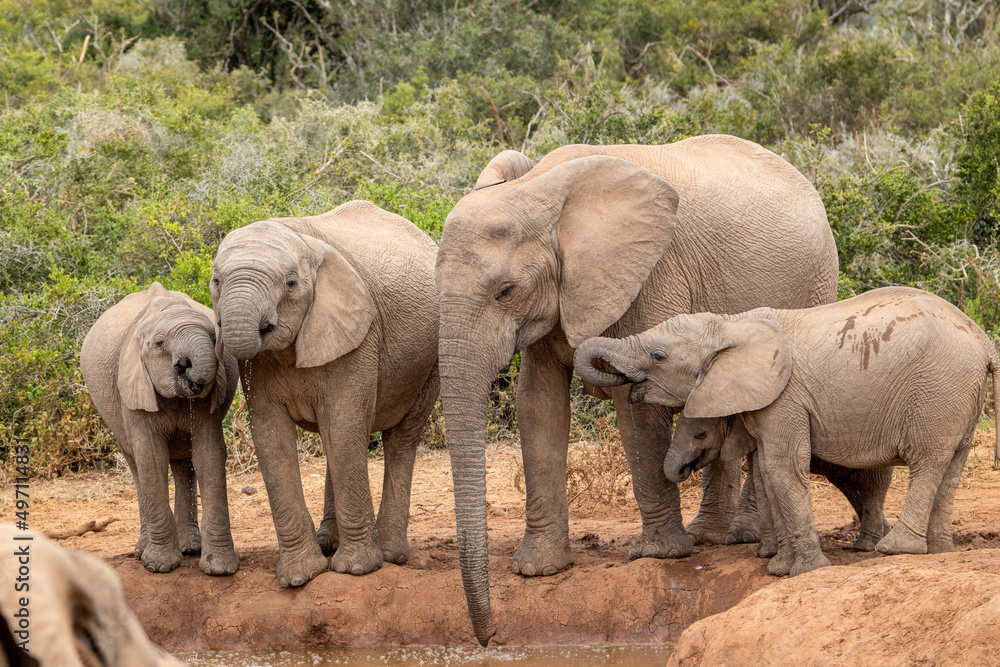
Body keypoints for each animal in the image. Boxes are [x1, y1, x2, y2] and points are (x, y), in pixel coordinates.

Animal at [80, 282, 239, 575]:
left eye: (214, 338)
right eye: (159, 343)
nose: (186, 368)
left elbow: (208, 454)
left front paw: (220, 569)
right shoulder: (133, 384)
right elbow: (151, 458)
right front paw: (158, 566)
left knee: (184, 464)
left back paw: (190, 549)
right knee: (136, 464)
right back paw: (143, 551)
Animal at [211, 200, 439, 588]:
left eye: (290, 284)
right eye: (216, 281)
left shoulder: (361, 335)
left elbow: (344, 425)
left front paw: (357, 569)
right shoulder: (257, 363)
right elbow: (272, 438)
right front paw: (299, 578)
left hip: (433, 356)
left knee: (398, 438)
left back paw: (390, 554)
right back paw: (328, 543)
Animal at [435, 134, 839, 644]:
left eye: (505, 291)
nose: (489, 638)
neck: (541, 191)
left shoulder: (650, 274)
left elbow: (638, 412)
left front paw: (657, 555)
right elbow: (538, 406)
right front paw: (538, 570)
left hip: (816, 283)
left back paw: (738, 539)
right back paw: (709, 536)